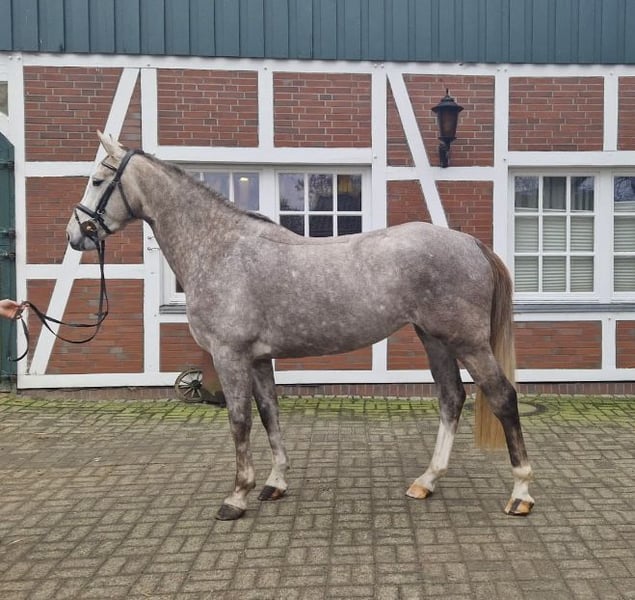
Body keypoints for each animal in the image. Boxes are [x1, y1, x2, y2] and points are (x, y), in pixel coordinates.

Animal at [66, 132, 534, 521]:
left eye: (96, 180)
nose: (75, 235)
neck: (222, 249)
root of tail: (470, 242)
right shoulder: (258, 359)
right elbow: (269, 414)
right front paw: (274, 484)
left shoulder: (230, 356)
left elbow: (239, 422)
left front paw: (236, 497)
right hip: (434, 338)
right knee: (451, 398)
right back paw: (426, 481)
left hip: (468, 342)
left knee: (502, 397)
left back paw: (521, 494)